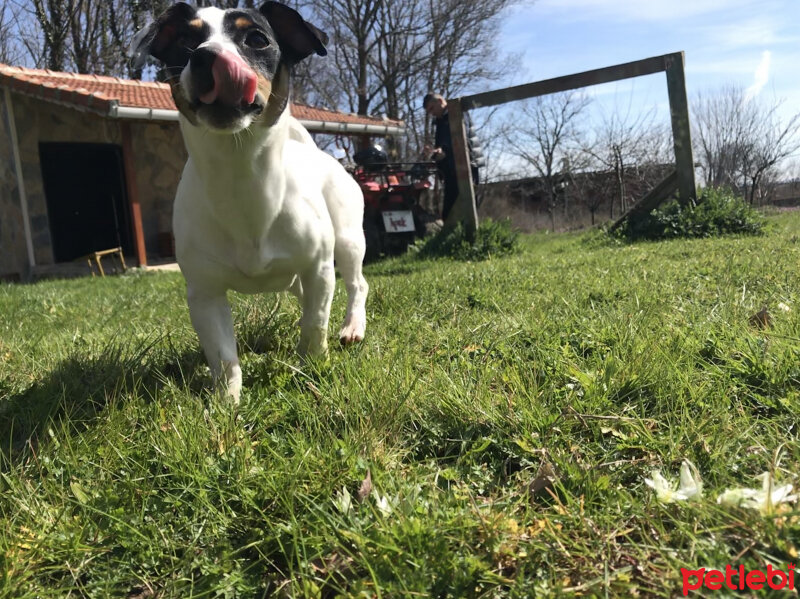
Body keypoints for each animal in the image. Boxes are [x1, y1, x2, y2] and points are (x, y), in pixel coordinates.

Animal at [132, 2, 368, 404]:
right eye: (185, 42)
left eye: (257, 39)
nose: (206, 56)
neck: (243, 178)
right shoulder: (205, 294)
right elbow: (223, 355)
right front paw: (227, 402)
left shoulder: (319, 268)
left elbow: (315, 324)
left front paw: (312, 367)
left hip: (348, 240)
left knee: (357, 285)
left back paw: (353, 326)